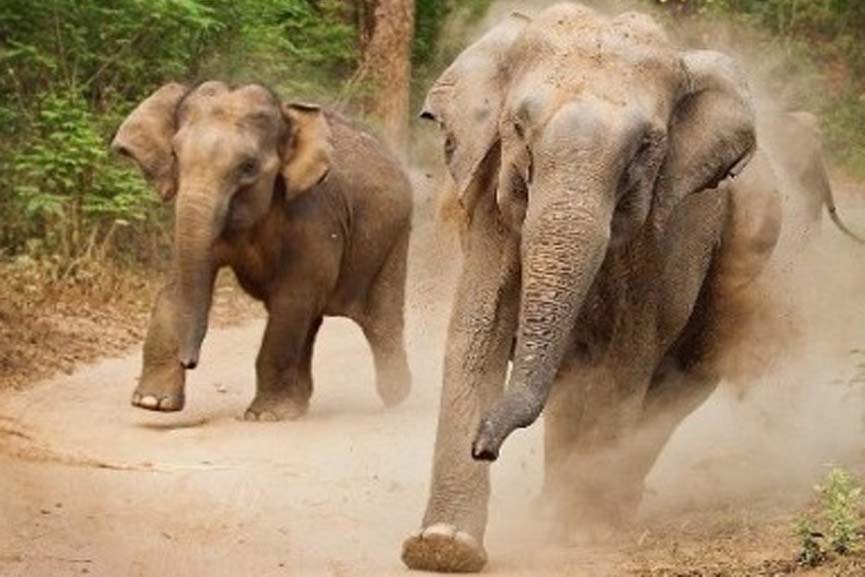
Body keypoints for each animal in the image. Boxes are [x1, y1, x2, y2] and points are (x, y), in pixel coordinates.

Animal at [111, 81, 413, 420]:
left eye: (248, 167)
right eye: (175, 154)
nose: (189, 361)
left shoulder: (316, 215)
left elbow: (293, 297)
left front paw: (265, 416)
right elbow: (176, 287)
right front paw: (152, 402)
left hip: (395, 238)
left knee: (380, 318)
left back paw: (396, 395)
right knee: (312, 321)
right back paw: (300, 404)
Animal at [401, 4, 782, 572]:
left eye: (646, 147)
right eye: (518, 126)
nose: (484, 445)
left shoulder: (665, 231)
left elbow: (628, 353)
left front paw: (583, 534)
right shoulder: (492, 197)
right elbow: (478, 333)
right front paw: (442, 547)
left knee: (680, 378)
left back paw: (604, 512)